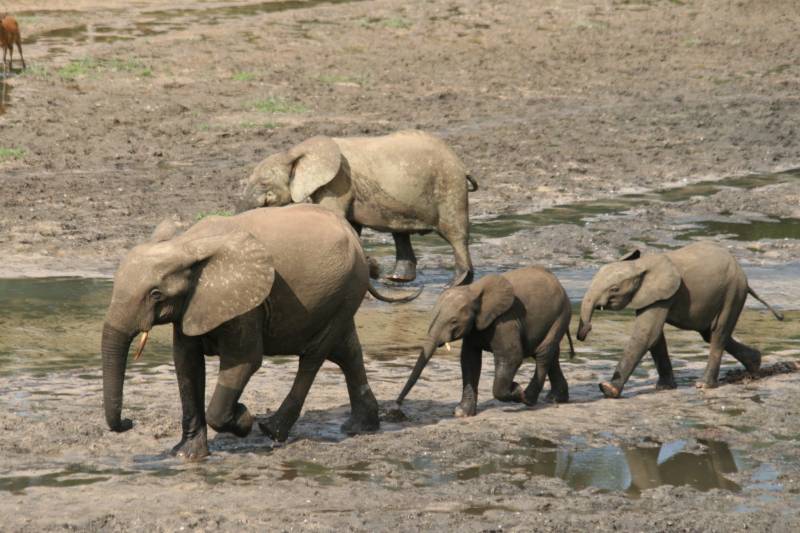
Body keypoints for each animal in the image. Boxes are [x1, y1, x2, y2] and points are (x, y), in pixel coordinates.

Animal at [101, 204, 417, 460]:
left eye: (155, 294)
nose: (129, 422)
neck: (187, 246)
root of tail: (356, 240)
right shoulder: (194, 304)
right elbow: (186, 364)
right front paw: (186, 455)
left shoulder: (245, 304)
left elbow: (244, 361)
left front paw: (243, 418)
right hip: (340, 293)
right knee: (346, 351)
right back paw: (360, 428)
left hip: (348, 287)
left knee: (314, 356)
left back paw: (272, 430)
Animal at [237, 130, 476, 286]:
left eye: (264, 183)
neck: (294, 152)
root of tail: (462, 165)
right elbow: (351, 225)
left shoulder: (339, 181)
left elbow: (334, 215)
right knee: (400, 232)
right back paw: (395, 280)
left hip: (449, 186)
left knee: (455, 233)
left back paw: (456, 284)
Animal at [395, 267, 574, 417]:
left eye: (454, 321)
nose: (397, 405)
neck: (473, 291)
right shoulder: (474, 326)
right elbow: (469, 360)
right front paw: (462, 413)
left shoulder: (505, 320)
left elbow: (511, 357)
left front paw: (516, 389)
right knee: (551, 354)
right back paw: (555, 399)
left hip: (561, 313)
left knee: (543, 353)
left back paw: (528, 399)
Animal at [576, 242, 784, 398]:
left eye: (614, 289)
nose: (585, 332)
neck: (642, 265)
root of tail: (744, 276)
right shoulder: (653, 297)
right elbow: (655, 338)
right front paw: (663, 388)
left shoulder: (664, 295)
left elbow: (647, 335)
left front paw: (607, 390)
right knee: (709, 334)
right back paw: (755, 364)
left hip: (733, 292)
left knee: (718, 333)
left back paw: (704, 385)